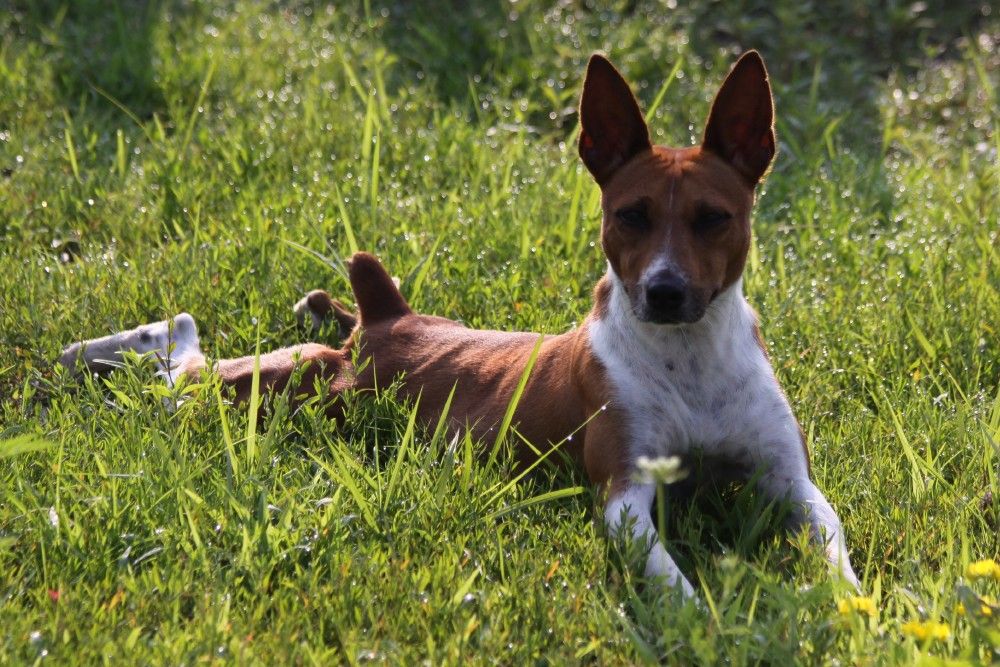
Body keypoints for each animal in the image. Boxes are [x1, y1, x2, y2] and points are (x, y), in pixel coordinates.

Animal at [60, 51, 860, 596]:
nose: (663, 292)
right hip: (283, 390)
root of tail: (386, 314)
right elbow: (669, 576)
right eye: (630, 215)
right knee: (181, 356)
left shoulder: (792, 480)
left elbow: (834, 544)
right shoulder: (625, 496)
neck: (688, 359)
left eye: (713, 218)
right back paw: (91, 350)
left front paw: (850, 610)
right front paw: (702, 620)